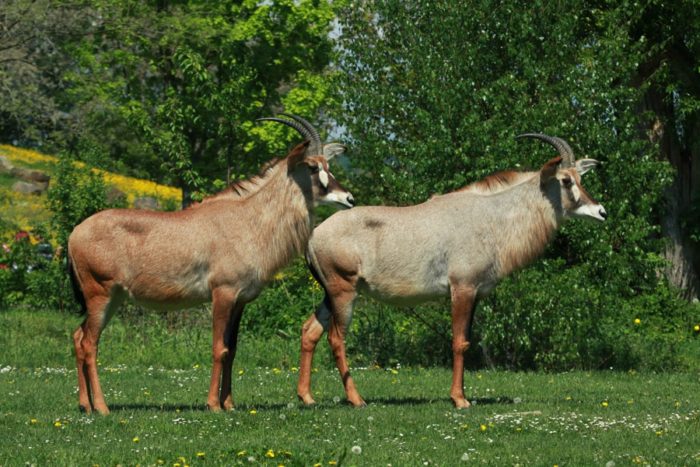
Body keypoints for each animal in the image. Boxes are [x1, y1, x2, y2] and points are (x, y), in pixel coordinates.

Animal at [67, 115, 356, 414]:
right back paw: (102, 407)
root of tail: (74, 234)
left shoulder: (241, 300)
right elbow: (219, 348)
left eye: (328, 165)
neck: (248, 219)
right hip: (100, 294)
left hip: (112, 298)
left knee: (78, 337)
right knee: (89, 343)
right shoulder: (222, 294)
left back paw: (85, 405)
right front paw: (213, 405)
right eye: (312, 166)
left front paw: (228, 403)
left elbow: (232, 349)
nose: (349, 199)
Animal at [296, 134, 608, 410]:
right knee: (336, 338)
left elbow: (467, 341)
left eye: (580, 178)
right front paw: (459, 399)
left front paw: (462, 395)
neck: (491, 218)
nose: (601, 212)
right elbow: (459, 342)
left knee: (310, 331)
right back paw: (356, 399)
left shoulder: (476, 292)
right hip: (344, 291)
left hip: (330, 294)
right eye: (566, 180)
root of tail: (313, 236)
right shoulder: (462, 288)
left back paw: (307, 398)